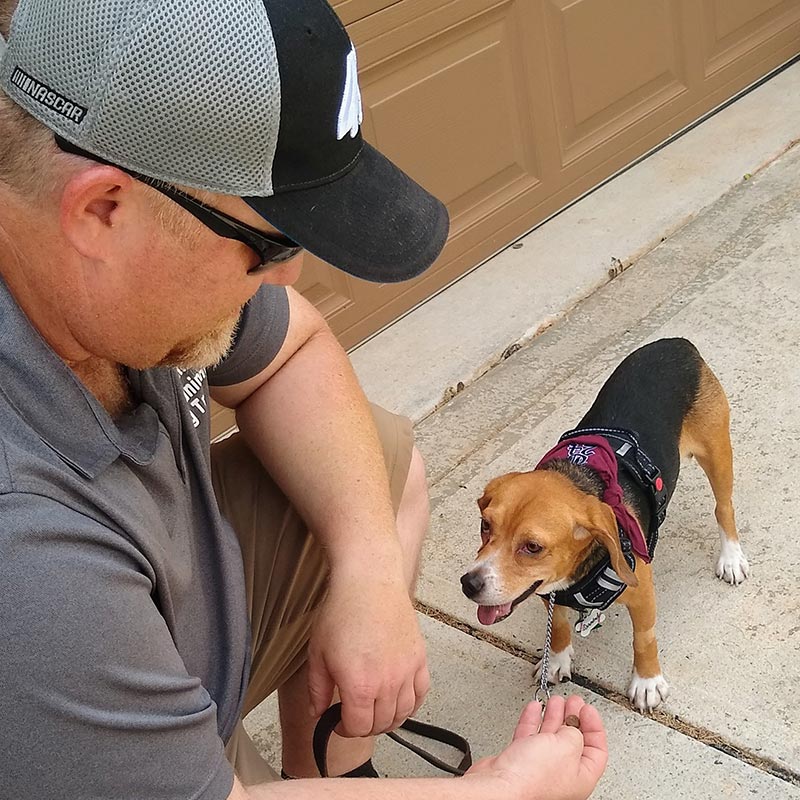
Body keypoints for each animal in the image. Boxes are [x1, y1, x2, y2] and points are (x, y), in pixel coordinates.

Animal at [462, 338, 752, 712]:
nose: (468, 584)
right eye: (485, 525)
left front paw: (647, 681)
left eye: (533, 547)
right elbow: (558, 627)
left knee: (723, 508)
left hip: (717, 454)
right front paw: (555, 661)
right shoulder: (549, 592)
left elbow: (643, 639)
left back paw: (731, 558)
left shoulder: (642, 594)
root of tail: (676, 343)